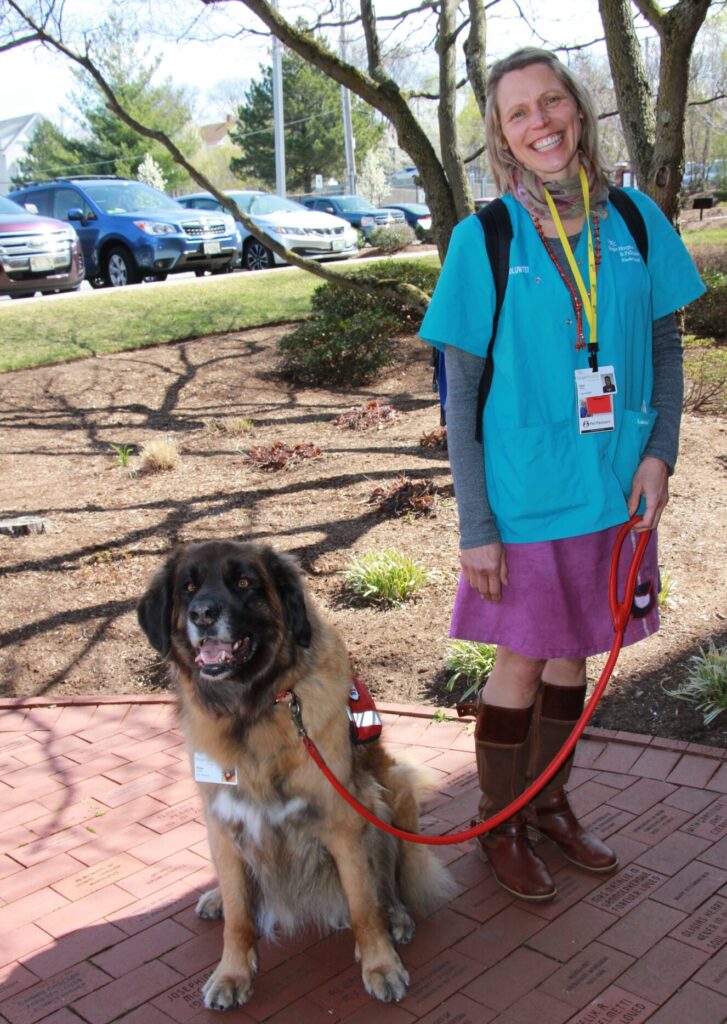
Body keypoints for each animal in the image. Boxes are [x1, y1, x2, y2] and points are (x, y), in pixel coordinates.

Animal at [138, 540, 454, 1011]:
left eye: (244, 582)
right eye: (187, 588)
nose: (202, 614)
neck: (255, 710)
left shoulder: (343, 823)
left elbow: (363, 906)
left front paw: (381, 964)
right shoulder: (222, 823)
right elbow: (239, 918)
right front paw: (231, 974)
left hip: (392, 788)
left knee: (392, 874)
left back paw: (397, 915)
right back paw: (215, 898)